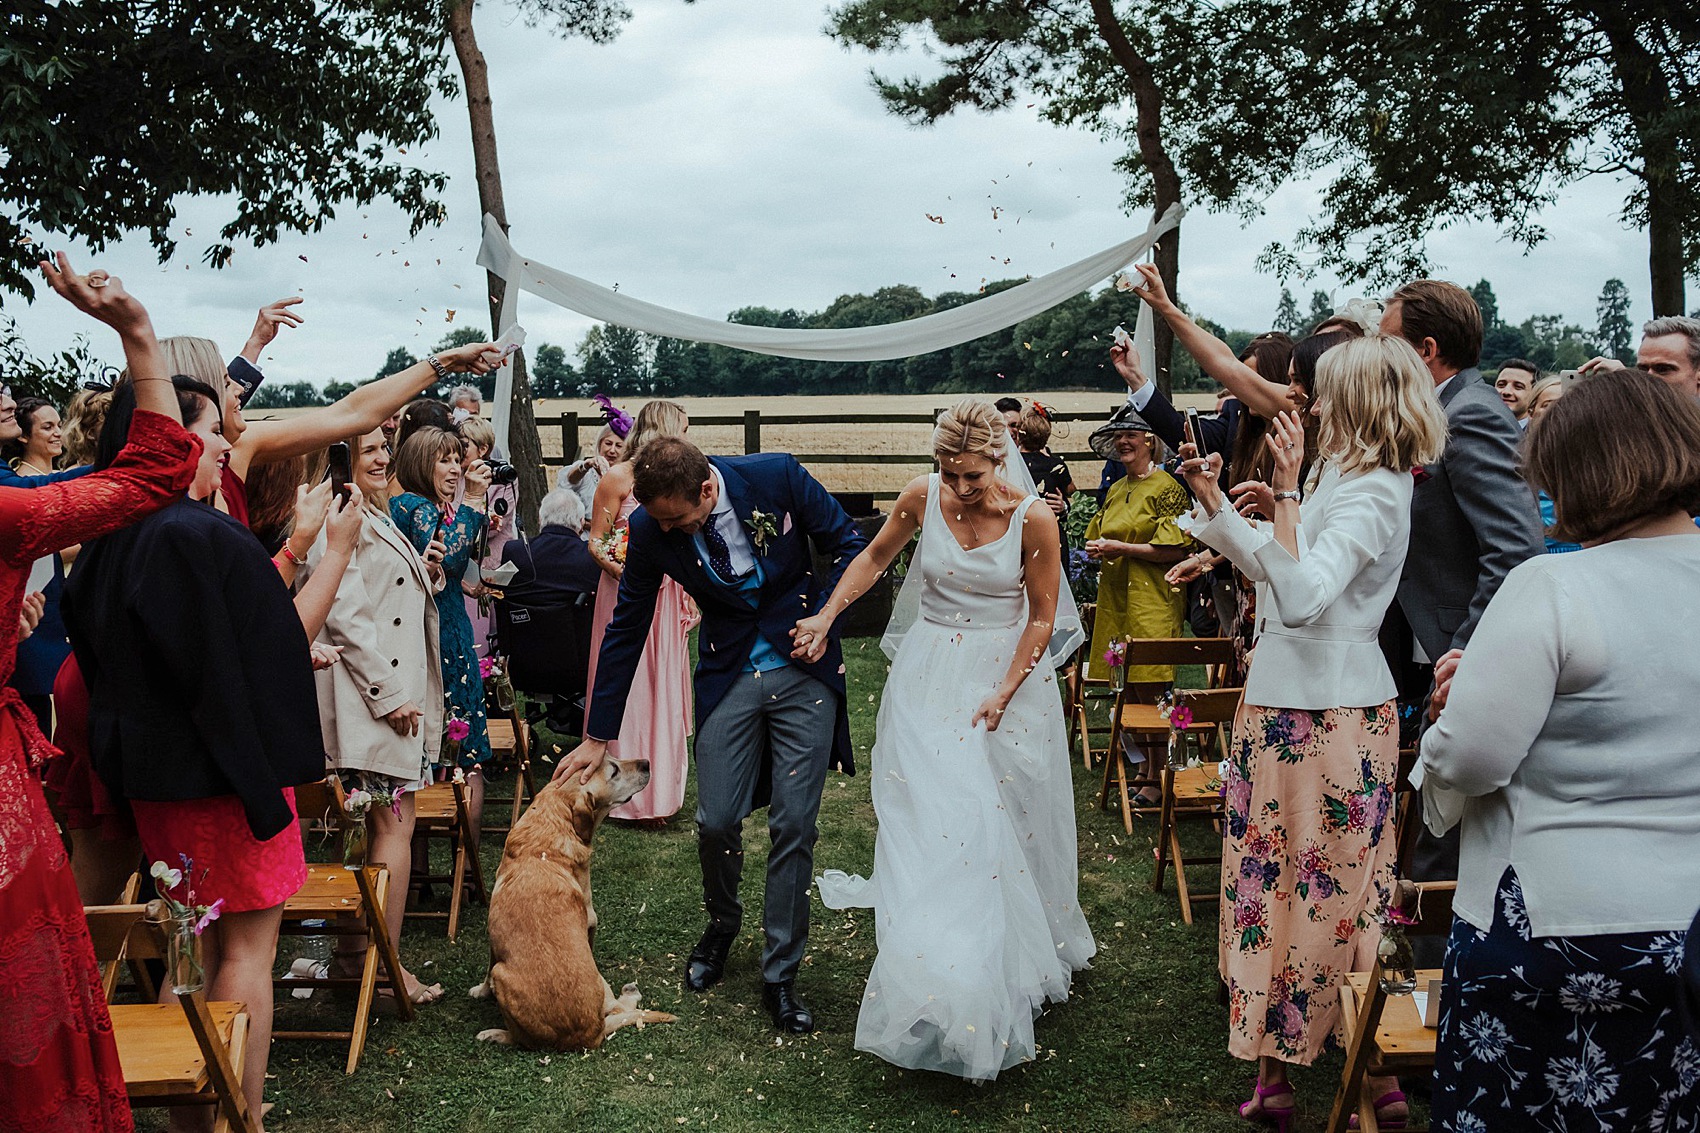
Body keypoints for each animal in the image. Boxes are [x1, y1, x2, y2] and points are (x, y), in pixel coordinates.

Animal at [472, 748, 676, 1047]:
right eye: (613, 770)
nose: (647, 763)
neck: (552, 822)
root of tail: (592, 1033)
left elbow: (487, 967)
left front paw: (481, 990)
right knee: (617, 1009)